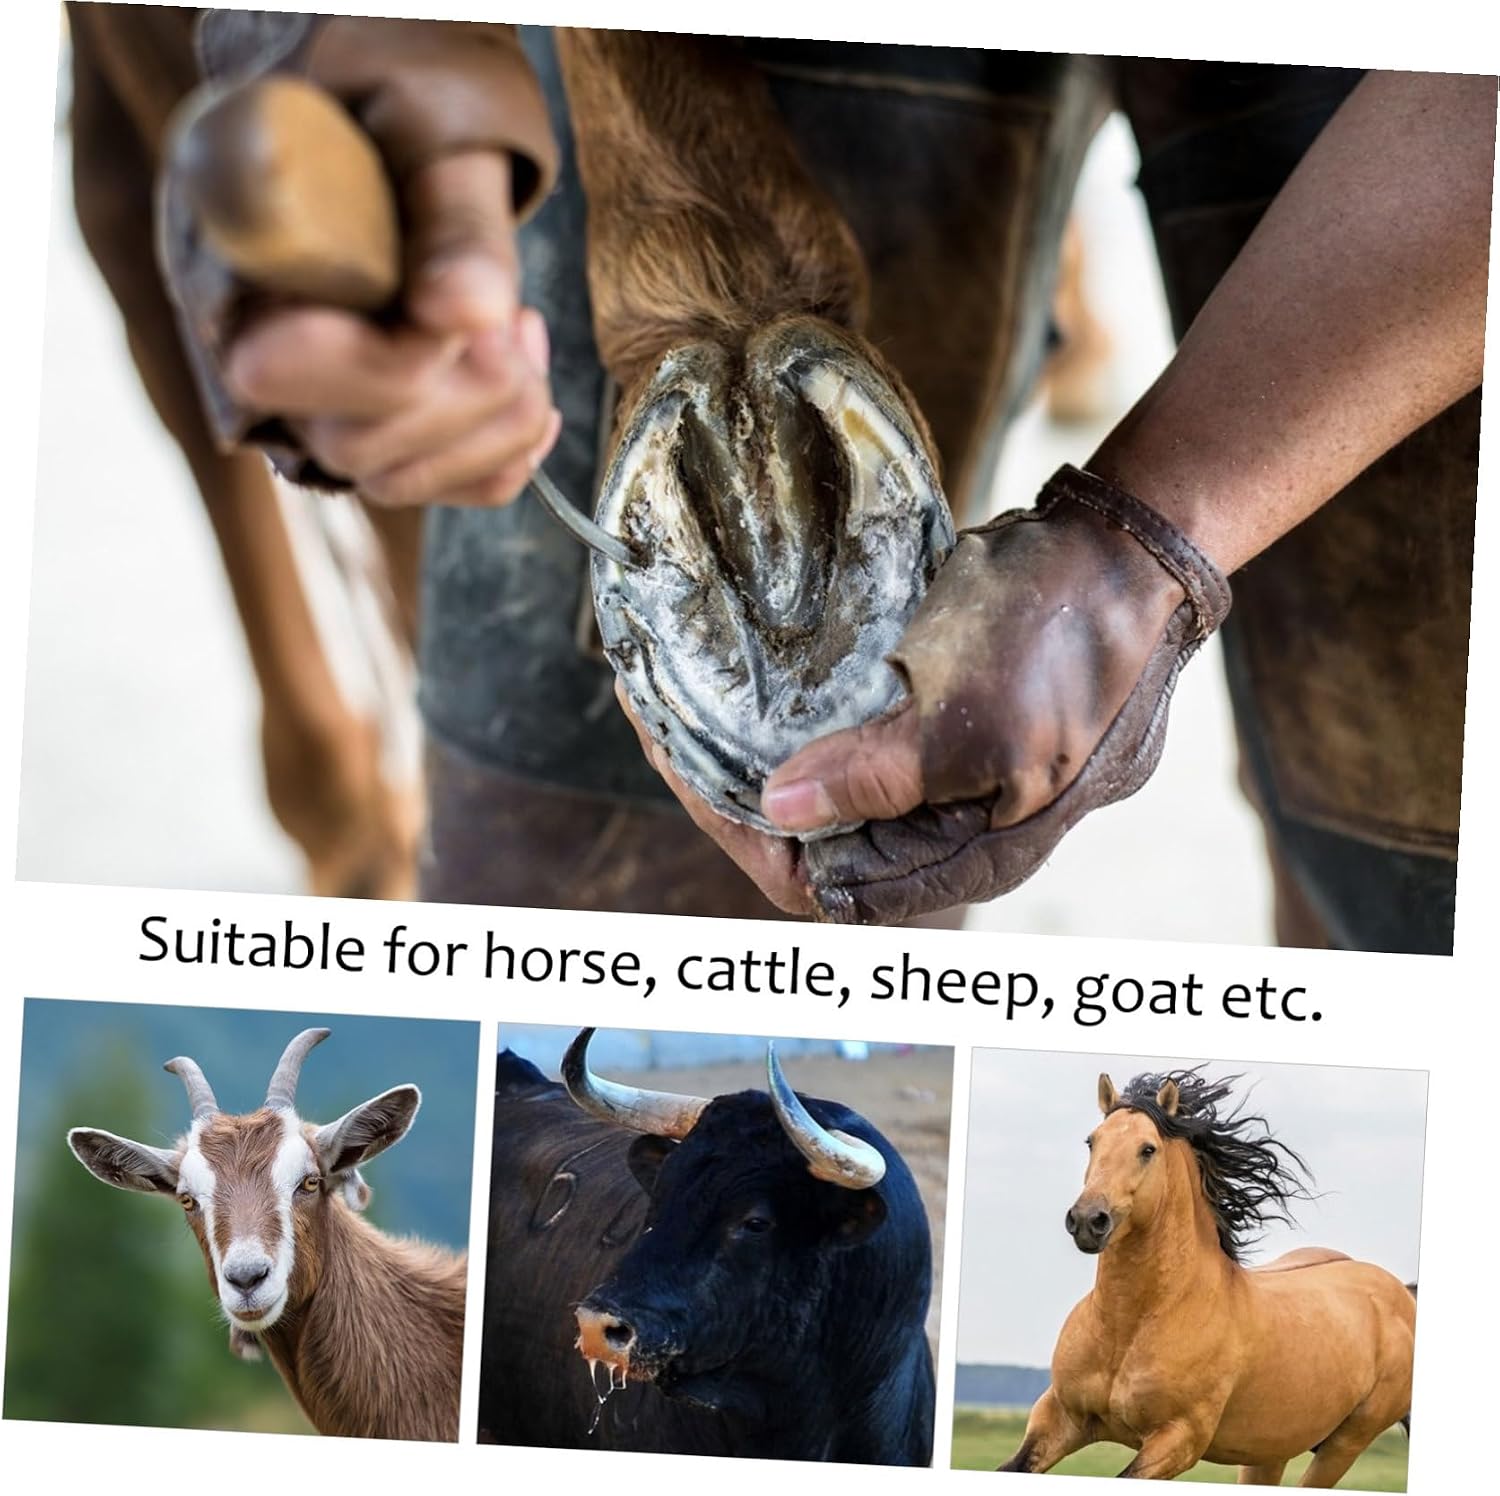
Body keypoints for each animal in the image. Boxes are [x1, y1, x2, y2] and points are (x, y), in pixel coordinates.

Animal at [1001, 1070, 1415, 1484]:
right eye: (1092, 1141)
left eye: (1147, 1149)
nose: (1088, 1220)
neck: (1132, 1325)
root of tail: (1402, 1294)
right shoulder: (1058, 1417)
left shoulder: (1178, 1441)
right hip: (1268, 1449)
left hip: (1345, 1444)